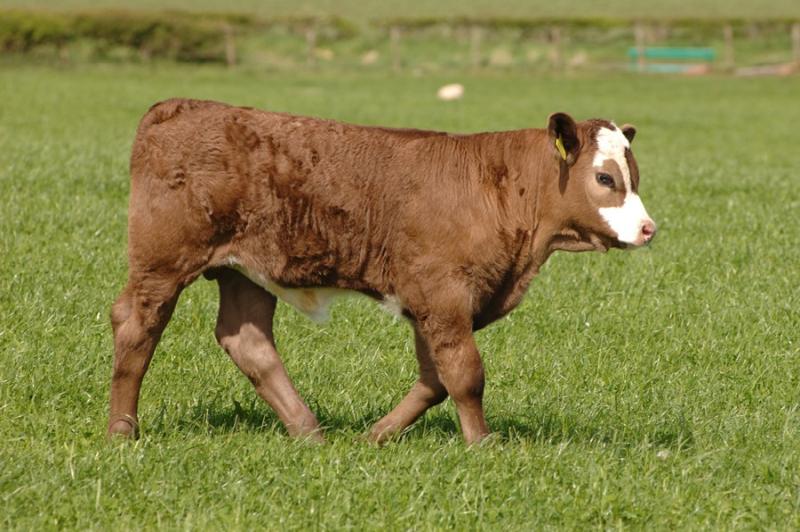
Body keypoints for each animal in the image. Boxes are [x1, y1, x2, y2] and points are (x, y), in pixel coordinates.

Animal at [108, 98, 655, 444]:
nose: (649, 229)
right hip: (162, 261)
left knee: (247, 340)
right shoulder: (444, 295)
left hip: (246, 271)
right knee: (137, 326)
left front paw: (377, 435)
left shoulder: (430, 304)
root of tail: (175, 107)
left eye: (634, 176)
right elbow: (466, 375)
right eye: (604, 178)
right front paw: (482, 444)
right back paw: (122, 430)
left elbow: (436, 379)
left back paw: (309, 432)